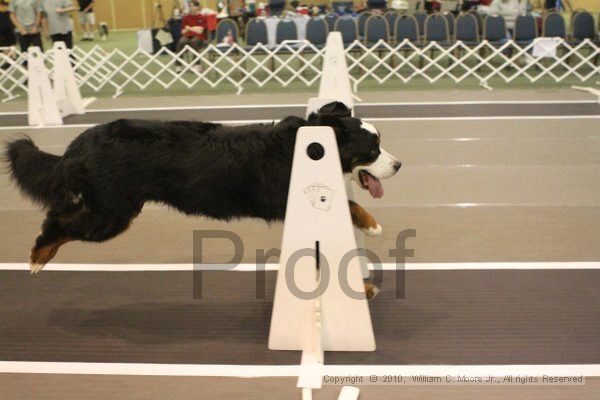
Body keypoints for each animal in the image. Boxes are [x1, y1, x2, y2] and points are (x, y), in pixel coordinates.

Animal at [5, 103, 404, 284]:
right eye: (373, 149)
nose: (398, 165)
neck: (309, 146)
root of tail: (78, 144)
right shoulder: (285, 195)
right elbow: (351, 204)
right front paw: (372, 225)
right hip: (110, 213)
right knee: (58, 222)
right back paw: (37, 256)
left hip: (111, 209)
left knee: (60, 215)